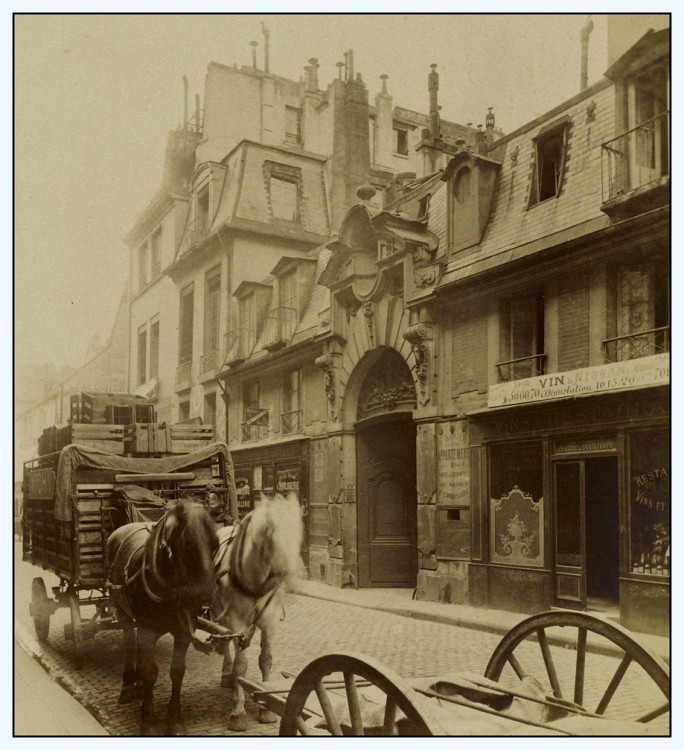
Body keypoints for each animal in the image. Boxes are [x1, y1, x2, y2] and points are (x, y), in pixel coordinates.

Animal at [105, 496, 218, 736]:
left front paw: (174, 718)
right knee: (130, 645)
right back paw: (128, 686)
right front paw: (148, 720)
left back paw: (138, 687)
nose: (207, 593)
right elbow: (150, 672)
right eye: (187, 544)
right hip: (122, 613)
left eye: (215, 544)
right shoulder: (147, 630)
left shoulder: (183, 632)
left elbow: (177, 672)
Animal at [211, 494, 302, 736]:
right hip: (221, 612)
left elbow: (266, 660)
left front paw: (266, 708)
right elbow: (241, 666)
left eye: (300, 530)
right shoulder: (237, 622)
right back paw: (227, 675)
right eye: (273, 533)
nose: (295, 573)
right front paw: (238, 713)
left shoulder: (270, 621)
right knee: (226, 643)